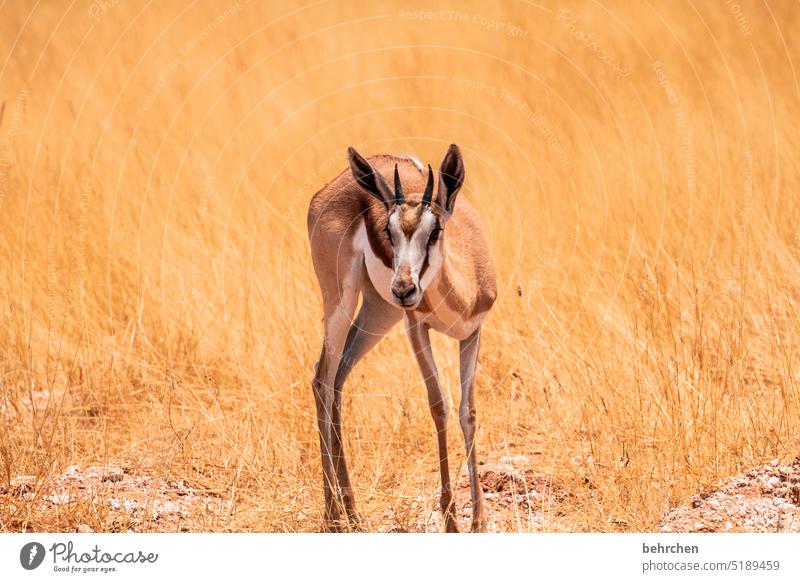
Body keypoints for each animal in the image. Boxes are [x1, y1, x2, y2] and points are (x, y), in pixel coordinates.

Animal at [304, 145, 494, 532]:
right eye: (388, 233)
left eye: (435, 230)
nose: (405, 288)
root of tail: (327, 189)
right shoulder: (415, 327)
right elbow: (439, 405)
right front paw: (451, 520)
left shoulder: (472, 332)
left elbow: (467, 411)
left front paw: (479, 521)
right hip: (342, 301)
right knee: (322, 379)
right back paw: (334, 515)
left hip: (380, 312)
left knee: (338, 380)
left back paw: (352, 510)